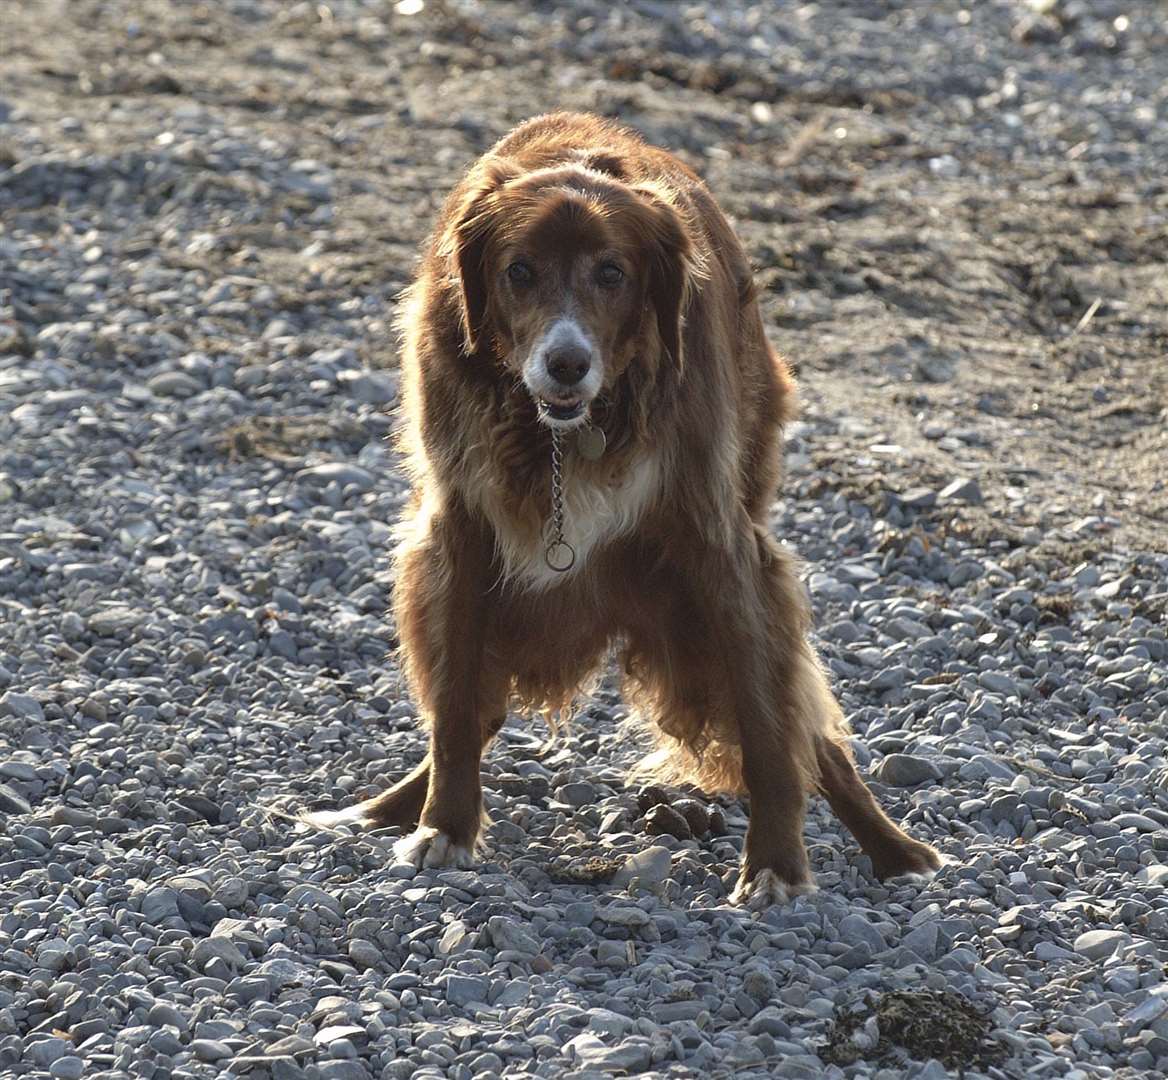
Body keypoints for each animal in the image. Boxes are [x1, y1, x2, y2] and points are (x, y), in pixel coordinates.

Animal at [310, 111, 939, 901]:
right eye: (519, 271)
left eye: (613, 273)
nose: (566, 363)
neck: (563, 434)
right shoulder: (459, 531)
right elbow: (454, 706)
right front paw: (444, 827)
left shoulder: (717, 542)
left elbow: (768, 723)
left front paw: (775, 865)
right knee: (471, 704)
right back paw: (390, 807)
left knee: (804, 723)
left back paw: (896, 850)